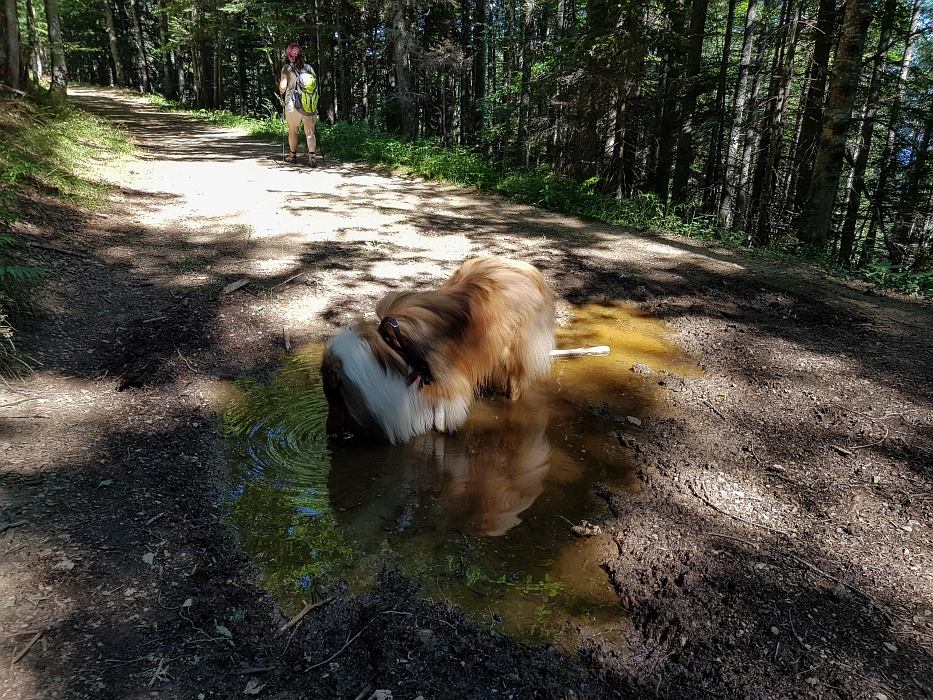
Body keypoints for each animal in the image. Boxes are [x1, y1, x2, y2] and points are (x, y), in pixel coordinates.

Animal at [320, 258, 552, 442]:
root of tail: (527, 269)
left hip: (510, 350)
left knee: (515, 380)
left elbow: (443, 414)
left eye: (334, 401)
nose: (327, 431)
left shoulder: (448, 383)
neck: (393, 349)